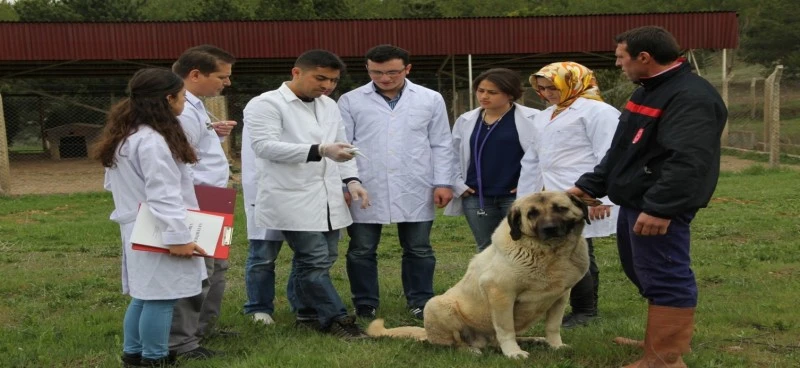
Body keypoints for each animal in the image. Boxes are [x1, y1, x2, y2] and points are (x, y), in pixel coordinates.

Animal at [366, 191, 592, 358]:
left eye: (560, 208)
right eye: (532, 214)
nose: (550, 228)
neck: (551, 255)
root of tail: (427, 334)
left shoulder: (560, 296)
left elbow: (553, 327)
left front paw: (556, 346)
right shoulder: (500, 292)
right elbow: (506, 329)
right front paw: (514, 353)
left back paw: (536, 340)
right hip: (436, 305)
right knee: (455, 343)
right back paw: (471, 350)